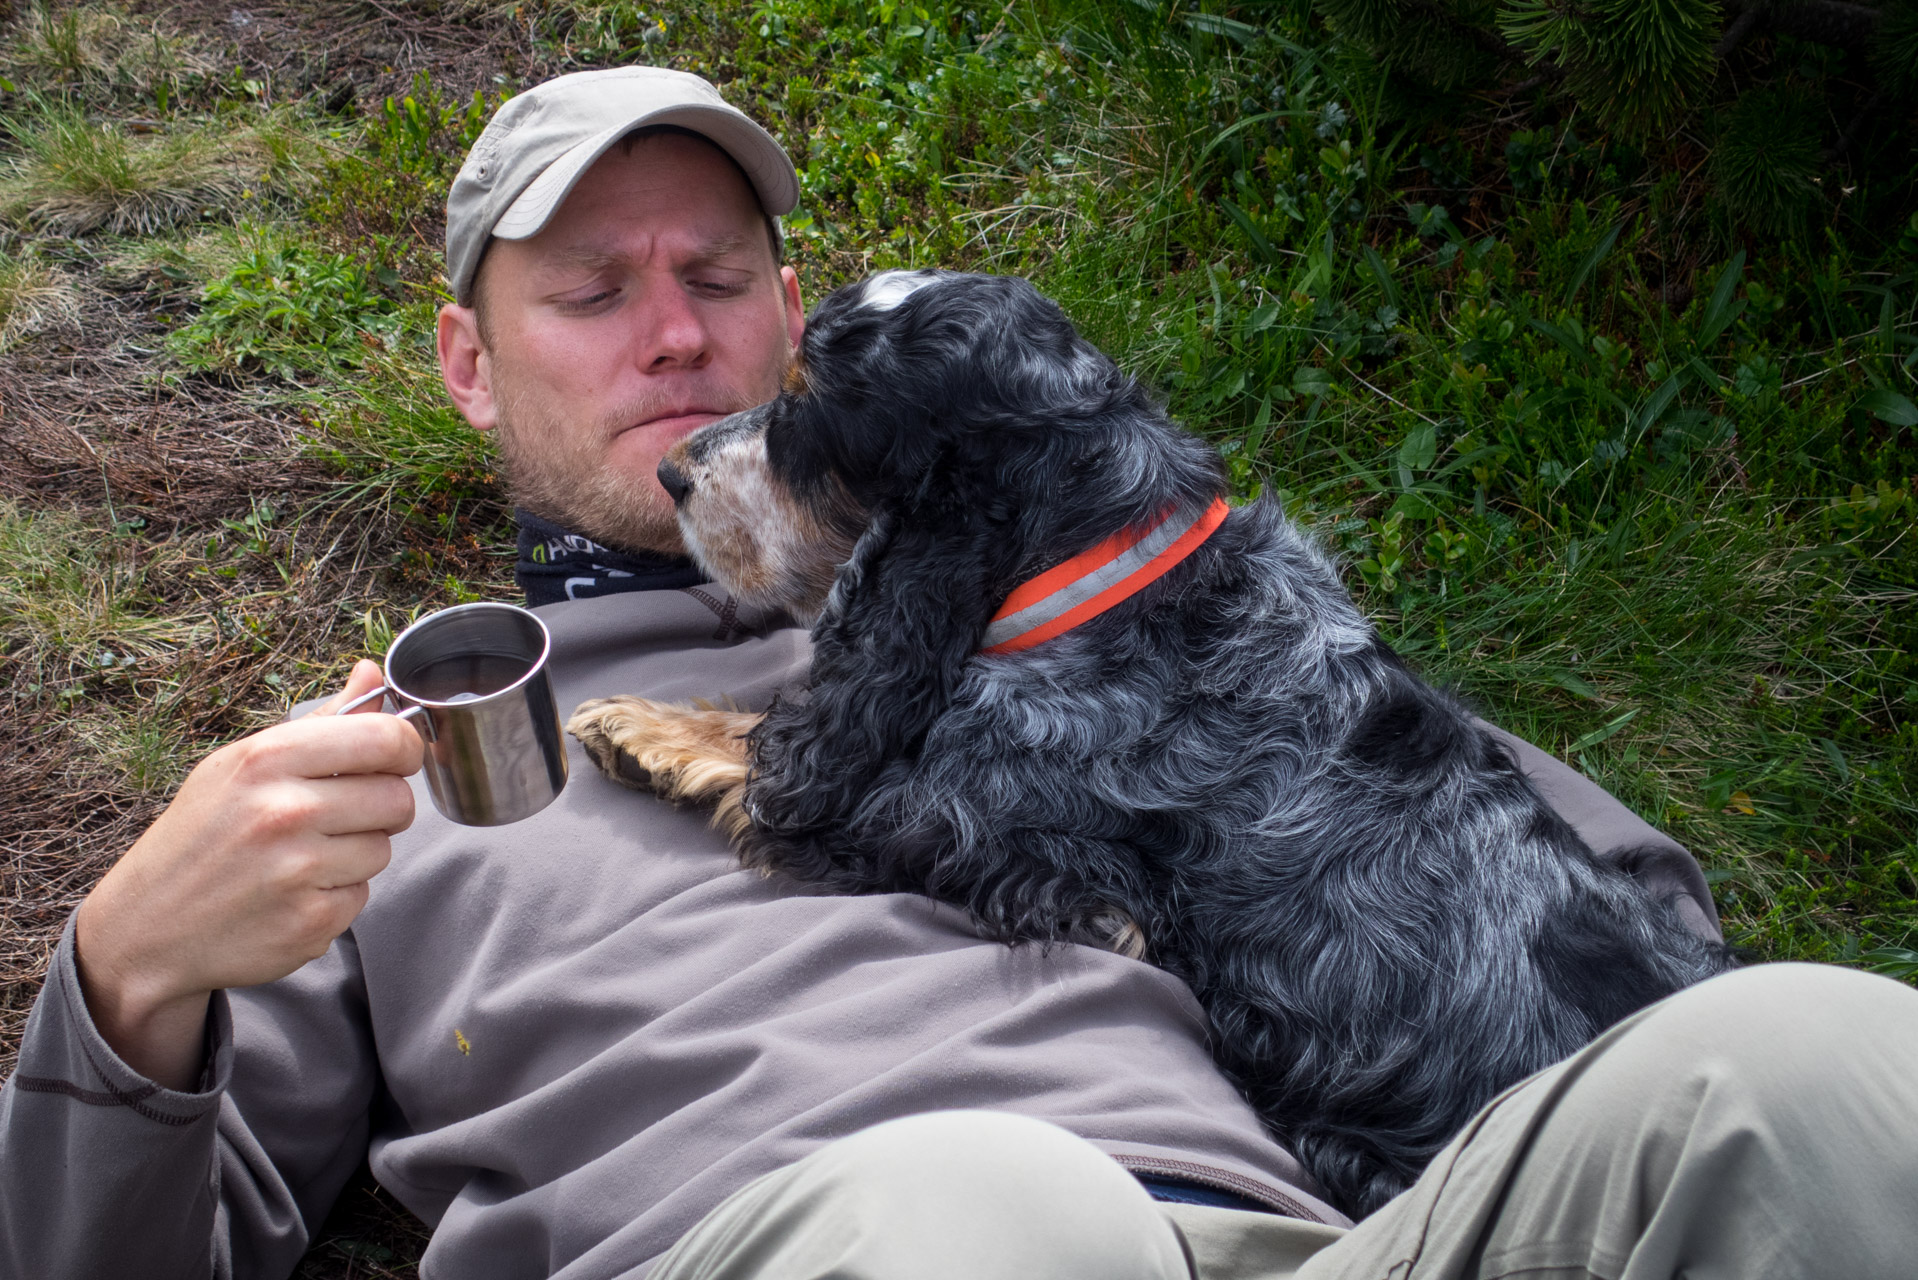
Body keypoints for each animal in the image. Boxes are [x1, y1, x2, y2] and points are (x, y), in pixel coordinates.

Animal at [567, 272, 1741, 1220]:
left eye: (807, 404)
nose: (670, 472)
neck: (1104, 571)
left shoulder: (963, 815)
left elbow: (792, 766)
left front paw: (643, 728)